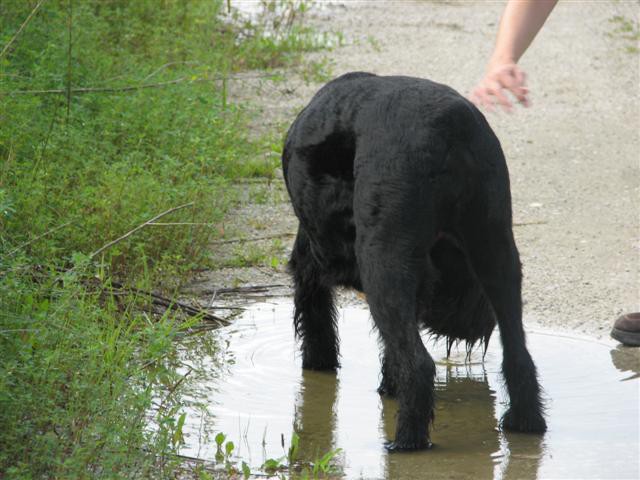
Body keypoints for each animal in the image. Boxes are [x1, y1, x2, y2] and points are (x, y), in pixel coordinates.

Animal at [282, 71, 548, 450]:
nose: (477, 325)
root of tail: (449, 130)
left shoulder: (313, 262)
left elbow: (315, 317)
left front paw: (319, 365)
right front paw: (388, 388)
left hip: (383, 264)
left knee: (418, 364)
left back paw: (406, 441)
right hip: (496, 248)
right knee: (517, 353)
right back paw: (525, 421)